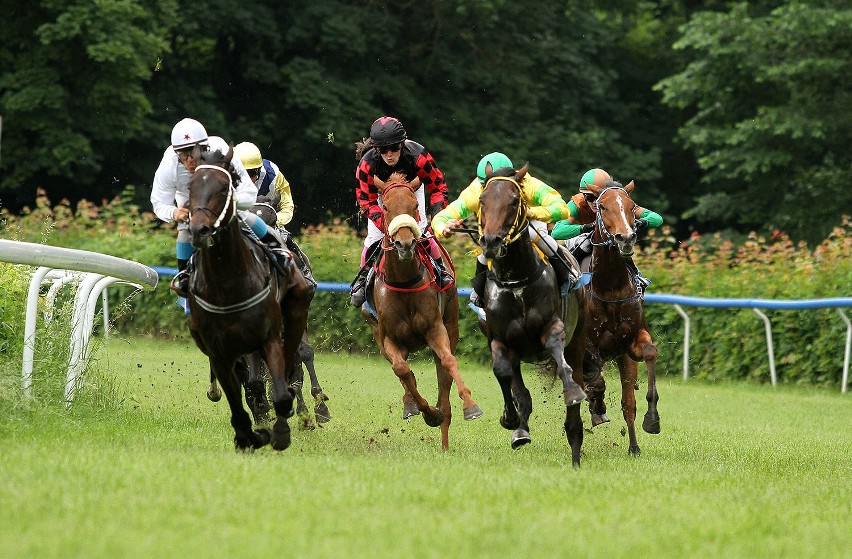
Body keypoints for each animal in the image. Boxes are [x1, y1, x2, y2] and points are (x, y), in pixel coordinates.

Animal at [358, 173, 480, 448]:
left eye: (415, 205)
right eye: (385, 207)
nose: (405, 243)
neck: (404, 281)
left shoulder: (436, 329)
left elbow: (448, 361)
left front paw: (469, 405)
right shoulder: (388, 338)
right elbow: (402, 370)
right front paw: (425, 411)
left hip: (451, 322)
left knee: (444, 380)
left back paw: (444, 439)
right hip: (378, 334)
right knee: (403, 371)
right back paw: (411, 404)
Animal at [476, 163, 588, 468]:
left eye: (515, 201)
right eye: (482, 200)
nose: (491, 242)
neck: (516, 280)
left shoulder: (553, 327)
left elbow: (558, 356)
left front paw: (572, 391)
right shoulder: (500, 340)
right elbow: (503, 373)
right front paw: (511, 419)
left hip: (579, 339)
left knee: (574, 418)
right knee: (520, 390)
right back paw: (520, 429)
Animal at [576, 177, 664, 458]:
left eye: (632, 205)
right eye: (602, 207)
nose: (625, 237)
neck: (611, 288)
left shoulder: (630, 345)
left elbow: (649, 354)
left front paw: (652, 420)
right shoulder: (587, 345)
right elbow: (594, 378)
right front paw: (597, 407)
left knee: (627, 402)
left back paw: (633, 445)